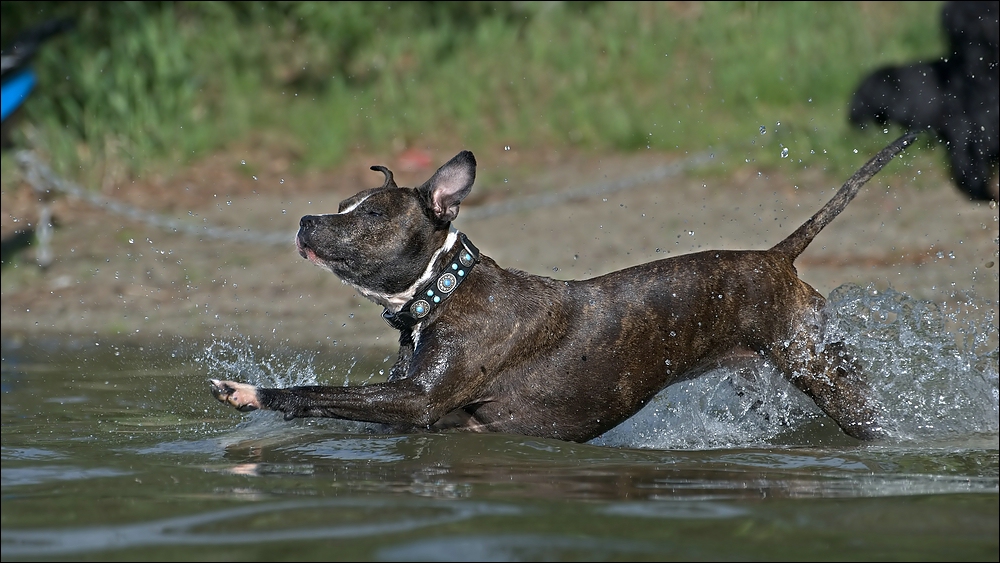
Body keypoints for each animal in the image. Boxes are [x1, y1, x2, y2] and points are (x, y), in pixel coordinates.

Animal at [207, 132, 916, 446]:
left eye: (372, 214)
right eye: (341, 205)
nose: (306, 220)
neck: (445, 289)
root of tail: (775, 258)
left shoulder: (414, 401)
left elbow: (316, 393)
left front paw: (249, 391)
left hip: (828, 376)